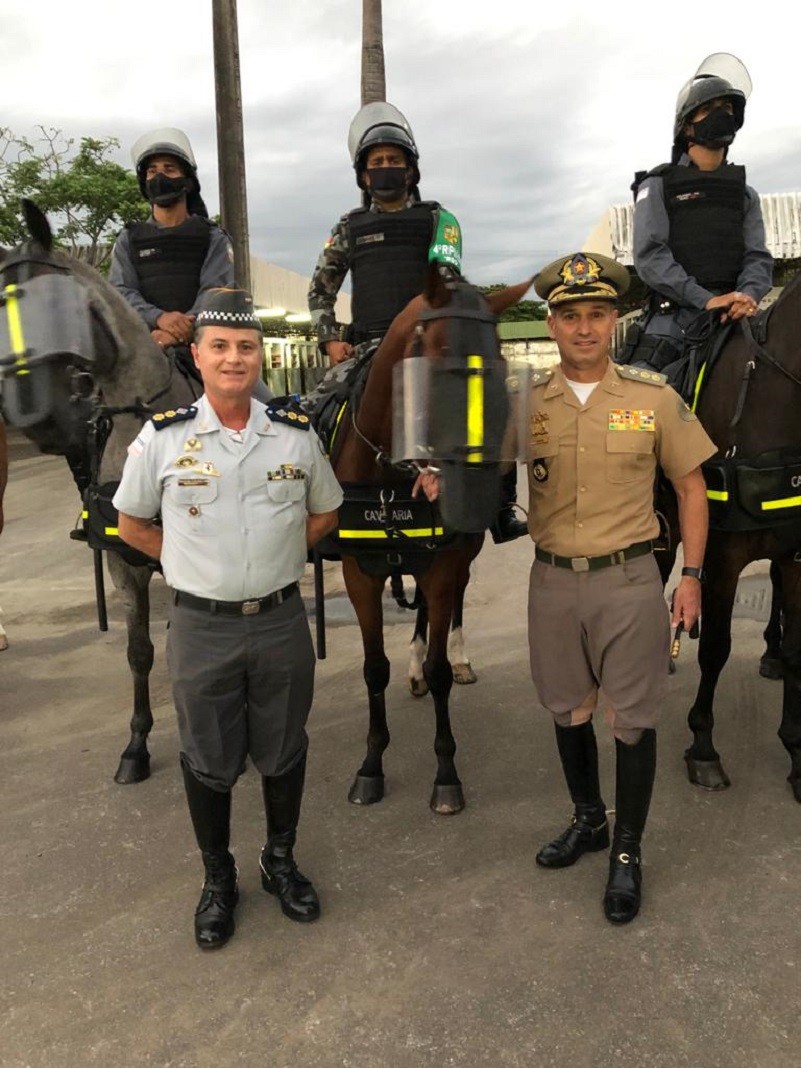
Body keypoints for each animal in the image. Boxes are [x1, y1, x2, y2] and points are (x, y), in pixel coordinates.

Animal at [328, 262, 529, 811]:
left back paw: (455, 657)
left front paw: (445, 773)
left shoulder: (443, 564)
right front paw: (371, 765)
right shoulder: (359, 574)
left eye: (499, 359)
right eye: (442, 361)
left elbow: (440, 666)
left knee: (453, 604)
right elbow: (374, 668)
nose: (480, 467)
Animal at [657, 275, 801, 803]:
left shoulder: (796, 554)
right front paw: (703, 747)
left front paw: (796, 753)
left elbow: (798, 652)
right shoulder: (722, 555)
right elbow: (715, 648)